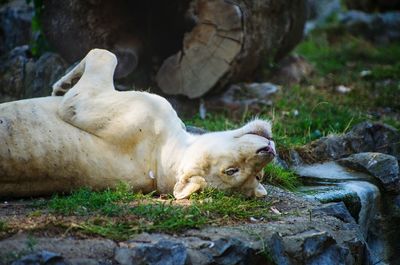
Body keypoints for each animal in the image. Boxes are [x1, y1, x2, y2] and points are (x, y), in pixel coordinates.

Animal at [0, 49, 276, 198]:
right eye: (234, 171)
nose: (268, 150)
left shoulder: (91, 106)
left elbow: (104, 56)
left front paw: (62, 85)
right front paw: (61, 85)